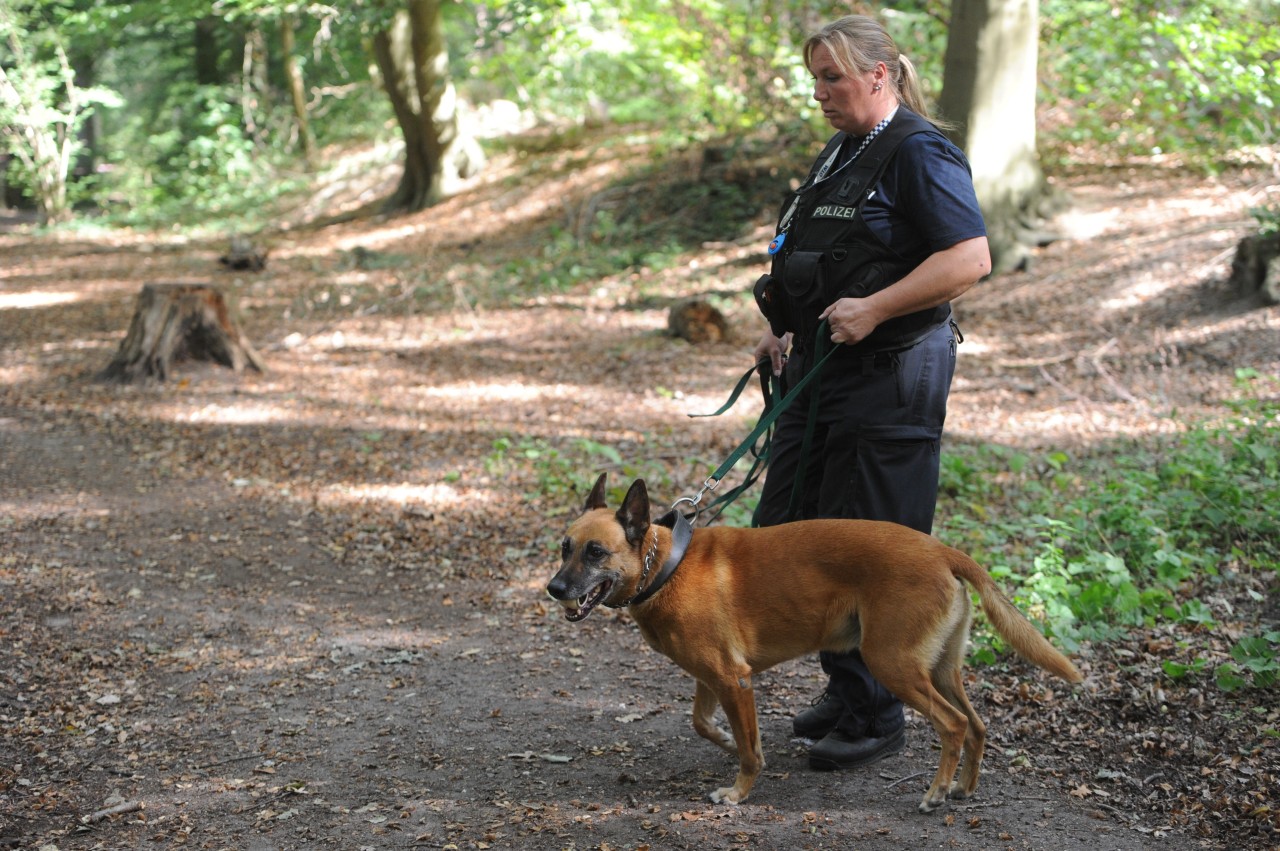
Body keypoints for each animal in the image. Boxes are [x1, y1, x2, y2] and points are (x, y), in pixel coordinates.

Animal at [545, 473, 1085, 813]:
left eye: (596, 553)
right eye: (564, 548)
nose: (553, 589)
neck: (665, 565)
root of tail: (944, 551)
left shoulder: (732, 678)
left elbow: (748, 751)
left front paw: (739, 792)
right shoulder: (714, 677)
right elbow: (703, 723)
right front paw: (727, 740)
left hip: (892, 664)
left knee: (952, 725)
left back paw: (935, 792)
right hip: (939, 669)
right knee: (977, 725)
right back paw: (963, 788)